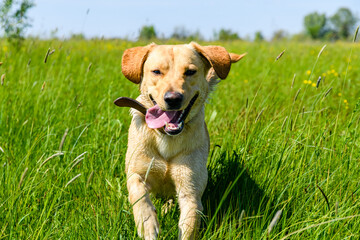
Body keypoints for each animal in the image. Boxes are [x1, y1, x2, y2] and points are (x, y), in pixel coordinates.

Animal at [119, 42, 245, 239]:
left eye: (190, 71)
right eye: (156, 71)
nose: (173, 99)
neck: (166, 137)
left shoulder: (190, 189)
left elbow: (190, 221)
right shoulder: (137, 171)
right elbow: (138, 192)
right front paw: (147, 223)